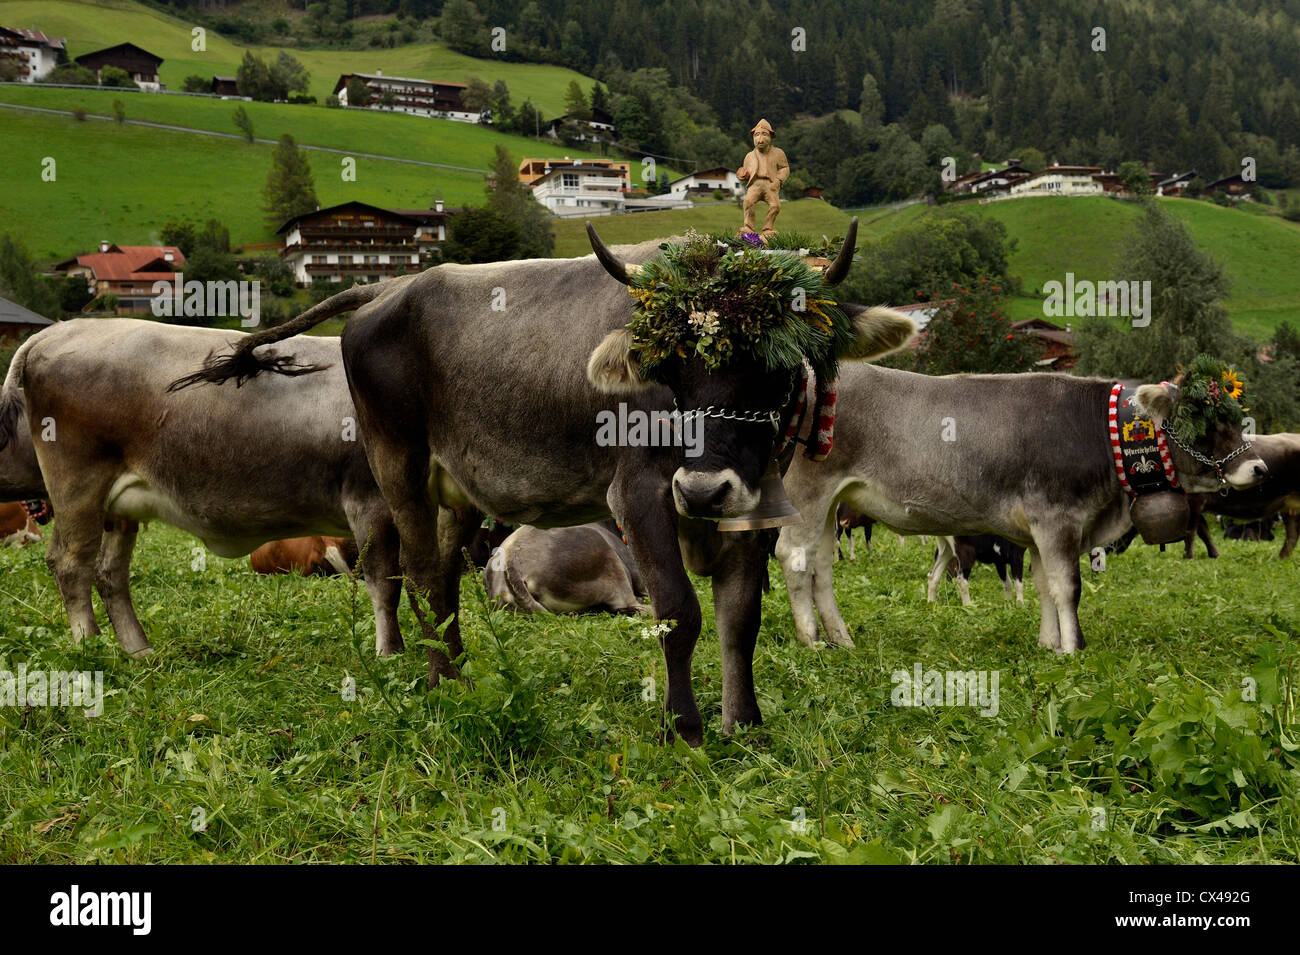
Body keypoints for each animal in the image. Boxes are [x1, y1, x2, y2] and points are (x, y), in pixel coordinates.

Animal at [774, 361, 1263, 654]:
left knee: (820, 563)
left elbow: (1044, 585)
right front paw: (1073, 648)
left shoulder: (1041, 532)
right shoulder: (1058, 519)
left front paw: (1049, 644)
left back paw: (841, 637)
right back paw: (811, 640)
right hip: (807, 490)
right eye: (1207, 424)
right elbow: (1068, 587)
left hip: (831, 504)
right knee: (793, 558)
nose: (1258, 467)